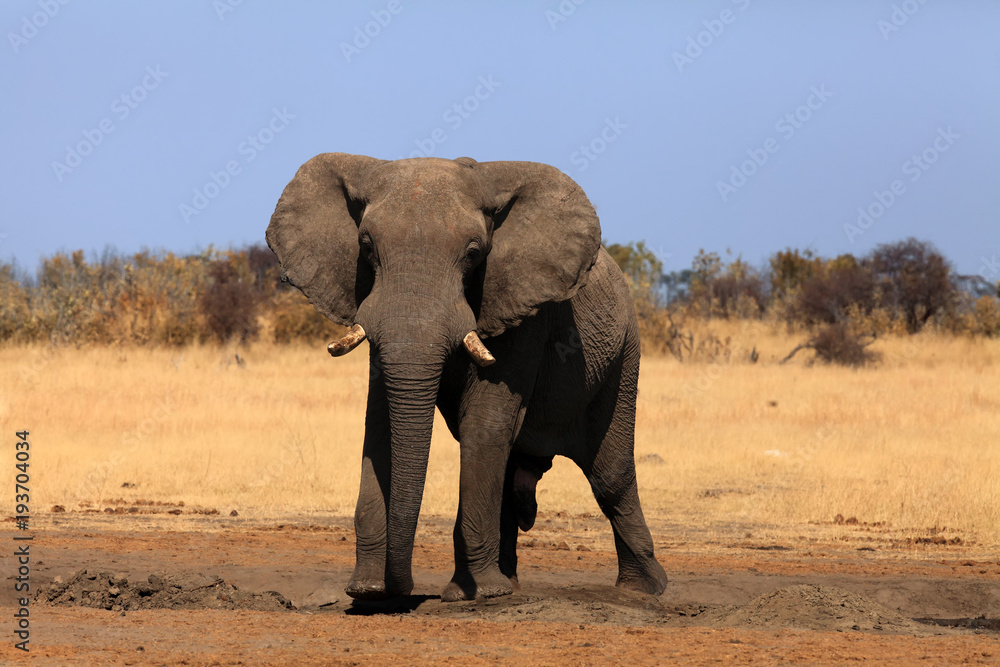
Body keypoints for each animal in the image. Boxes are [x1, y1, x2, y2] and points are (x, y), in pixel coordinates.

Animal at [268, 154, 672, 604]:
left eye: (474, 253)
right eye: (367, 246)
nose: (402, 589)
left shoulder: (523, 308)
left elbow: (484, 423)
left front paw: (478, 594)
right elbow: (382, 423)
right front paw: (368, 592)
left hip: (623, 354)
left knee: (609, 475)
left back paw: (642, 590)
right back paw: (506, 584)